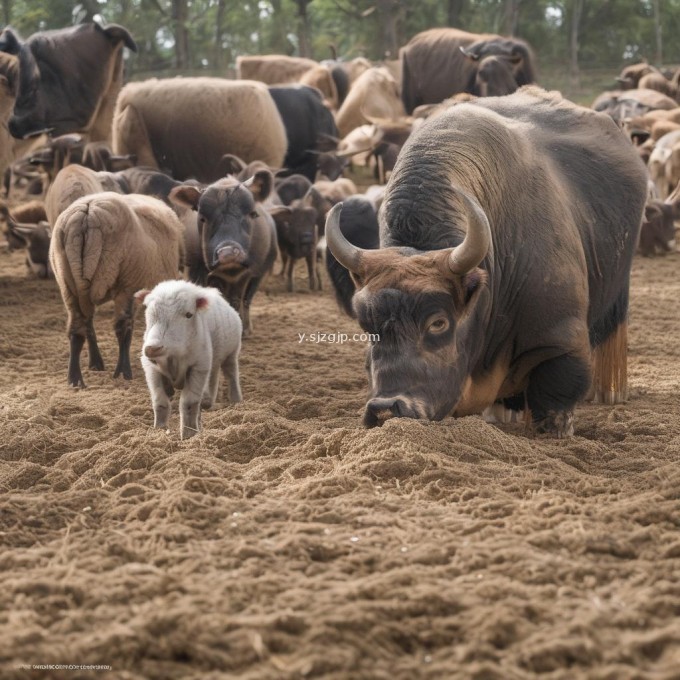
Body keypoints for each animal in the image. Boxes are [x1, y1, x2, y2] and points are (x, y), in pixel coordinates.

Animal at [135, 278, 242, 438]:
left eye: (189, 314)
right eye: (147, 311)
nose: (152, 348)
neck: (173, 357)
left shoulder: (198, 367)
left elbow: (189, 403)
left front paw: (189, 434)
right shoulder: (151, 369)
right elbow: (160, 401)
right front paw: (159, 430)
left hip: (231, 353)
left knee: (231, 374)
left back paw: (236, 401)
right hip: (213, 359)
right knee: (213, 378)